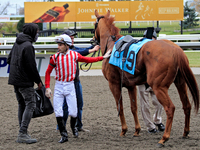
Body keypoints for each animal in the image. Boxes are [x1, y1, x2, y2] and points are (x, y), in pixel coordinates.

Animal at [94, 9, 198, 147]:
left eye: (94, 25)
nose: (93, 40)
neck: (111, 46)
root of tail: (176, 50)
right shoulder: (131, 85)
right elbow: (134, 108)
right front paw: (137, 130)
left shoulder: (114, 84)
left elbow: (120, 107)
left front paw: (124, 130)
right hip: (180, 83)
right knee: (187, 105)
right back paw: (185, 132)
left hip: (159, 87)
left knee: (170, 108)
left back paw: (164, 138)